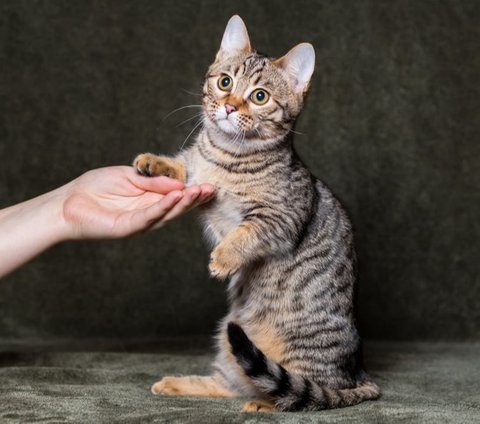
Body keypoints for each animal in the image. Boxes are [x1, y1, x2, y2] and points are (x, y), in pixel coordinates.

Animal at [132, 15, 378, 410]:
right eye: (225, 82)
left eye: (259, 96)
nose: (230, 107)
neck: (225, 156)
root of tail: (357, 375)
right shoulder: (197, 174)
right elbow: (184, 167)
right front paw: (154, 163)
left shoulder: (279, 218)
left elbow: (246, 234)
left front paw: (223, 259)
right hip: (228, 337)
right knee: (232, 382)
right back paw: (177, 384)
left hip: (296, 353)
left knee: (301, 390)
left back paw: (267, 403)